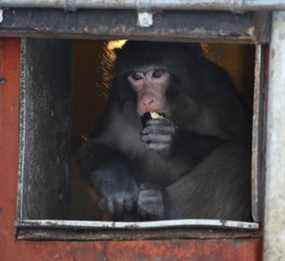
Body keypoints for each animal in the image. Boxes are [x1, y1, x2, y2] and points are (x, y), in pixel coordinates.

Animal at [76, 40, 250, 219]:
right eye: (136, 77)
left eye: (158, 74)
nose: (146, 100)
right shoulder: (116, 99)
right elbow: (96, 146)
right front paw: (117, 185)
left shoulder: (218, 90)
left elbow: (241, 140)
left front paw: (174, 141)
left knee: (236, 154)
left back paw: (163, 204)